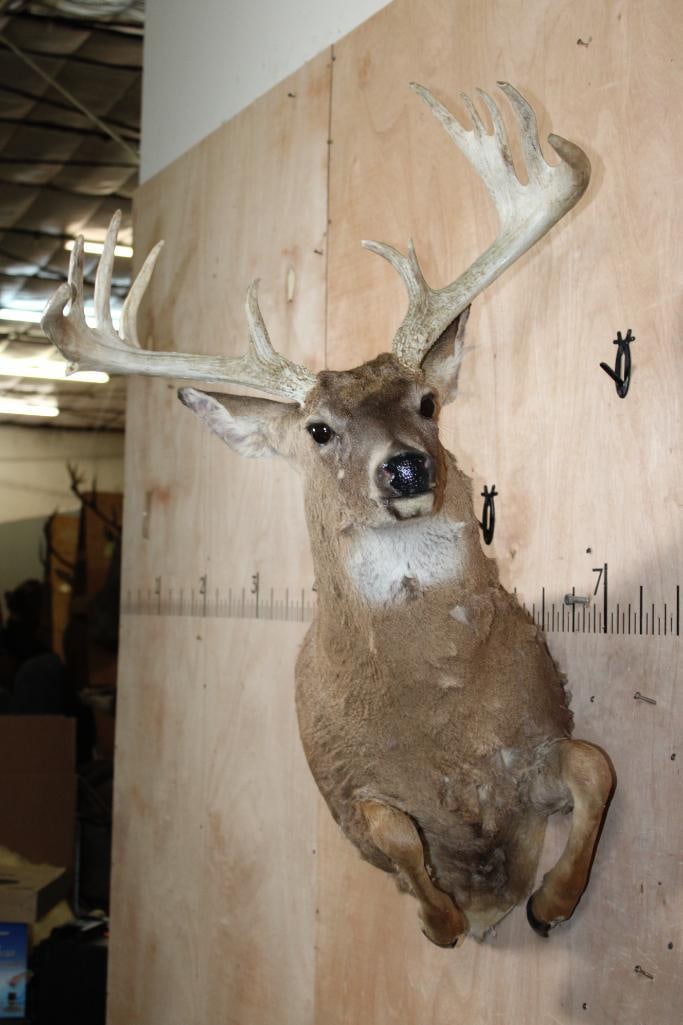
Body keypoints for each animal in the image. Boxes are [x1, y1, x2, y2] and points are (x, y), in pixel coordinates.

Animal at [41, 81, 615, 945]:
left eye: (426, 401)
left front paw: (549, 902)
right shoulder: (352, 799)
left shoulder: (536, 737)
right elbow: (391, 829)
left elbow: (594, 764)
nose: (407, 466)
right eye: (317, 429)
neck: (443, 727)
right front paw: (440, 920)